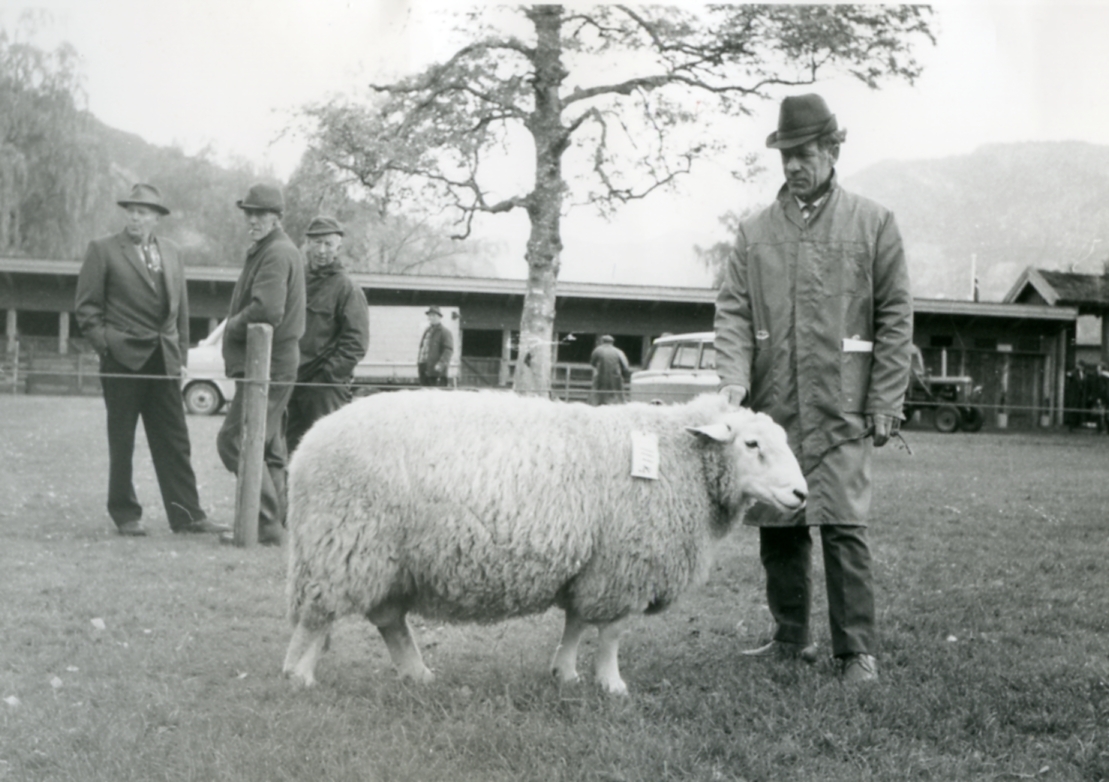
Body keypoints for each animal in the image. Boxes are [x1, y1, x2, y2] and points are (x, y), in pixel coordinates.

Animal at [283, 390, 807, 696]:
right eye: (752, 444)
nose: (801, 495)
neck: (678, 458)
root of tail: (306, 446)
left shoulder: (593, 567)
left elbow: (575, 622)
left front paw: (566, 674)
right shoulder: (624, 565)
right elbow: (612, 632)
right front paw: (611, 684)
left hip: (386, 558)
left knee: (390, 620)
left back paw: (417, 674)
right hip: (345, 543)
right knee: (318, 615)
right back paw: (298, 676)